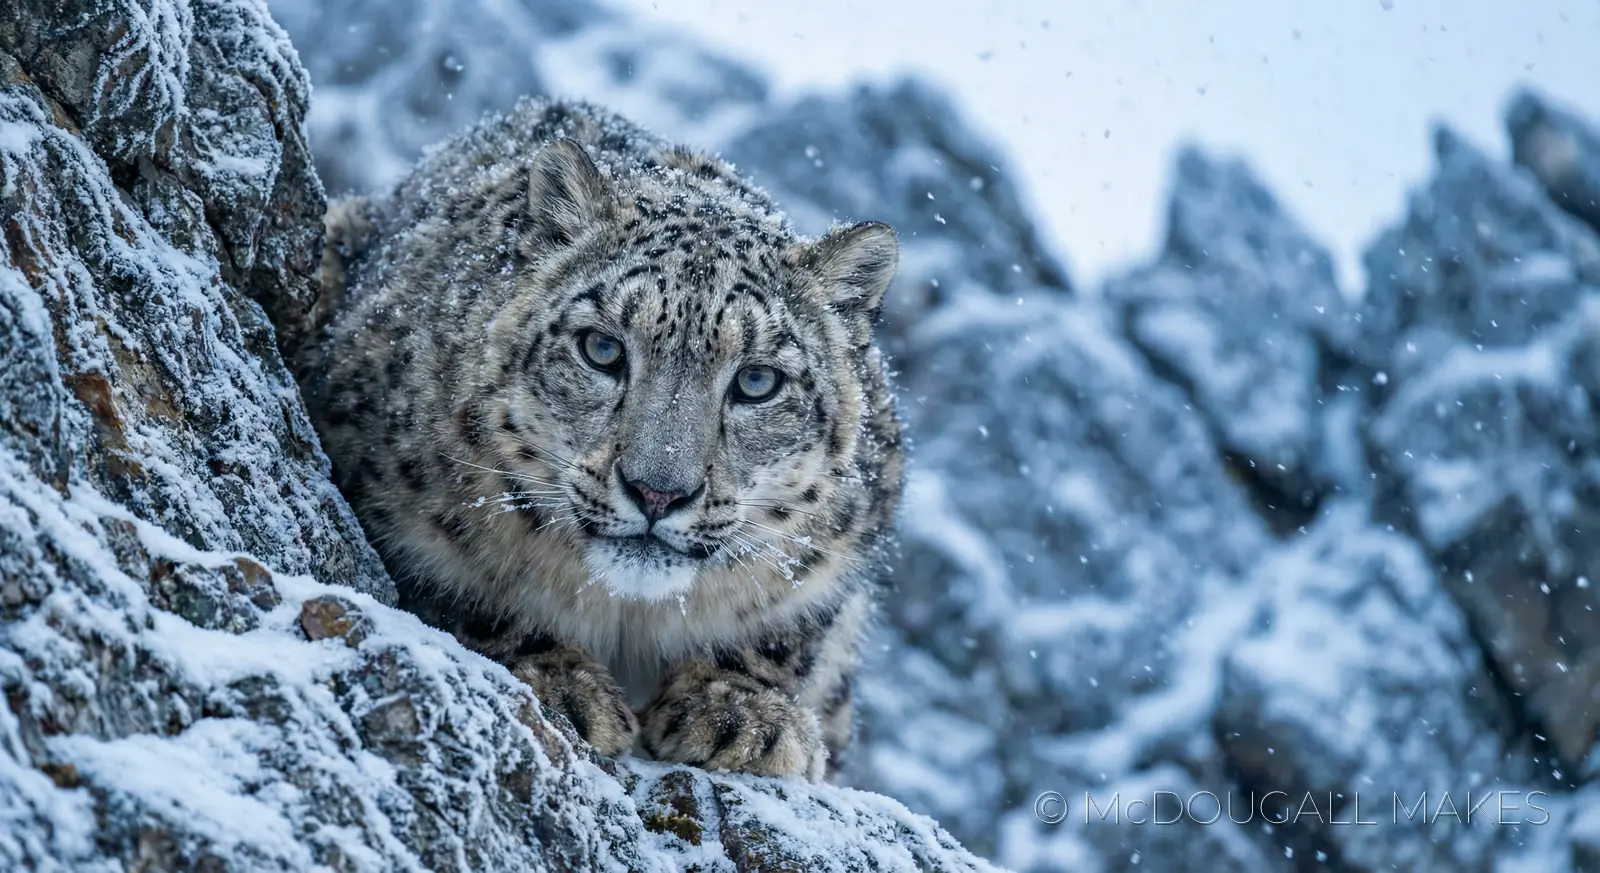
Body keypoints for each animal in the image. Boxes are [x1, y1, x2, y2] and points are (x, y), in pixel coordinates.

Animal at [296, 97, 904, 781]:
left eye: (756, 381)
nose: (658, 492)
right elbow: (460, 588)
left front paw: (741, 714)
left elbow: (787, 631)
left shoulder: (841, 552)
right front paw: (563, 682)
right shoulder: (389, 499)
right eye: (603, 349)